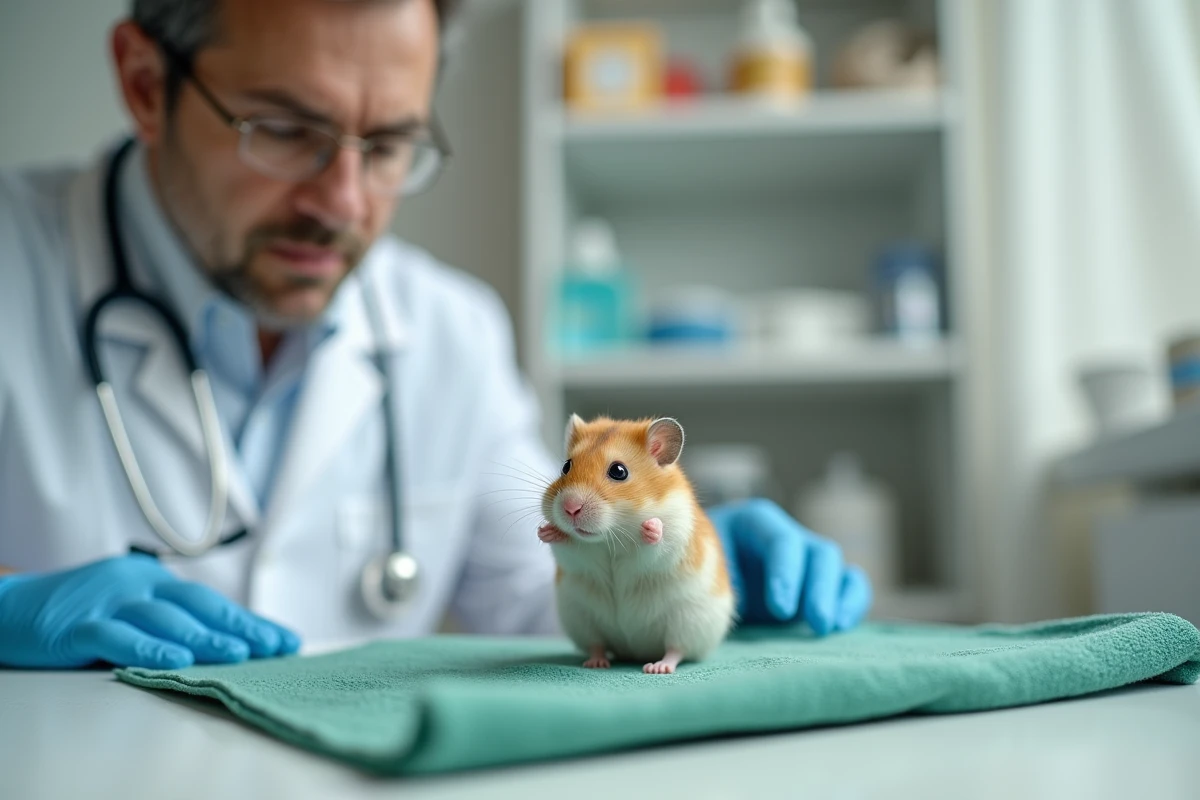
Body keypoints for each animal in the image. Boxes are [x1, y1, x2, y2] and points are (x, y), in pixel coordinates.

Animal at [537, 414, 736, 674]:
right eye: (566, 466)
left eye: (618, 471)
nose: (570, 508)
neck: (609, 538)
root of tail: (636, 650)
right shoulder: (579, 556)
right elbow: (567, 548)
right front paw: (545, 531)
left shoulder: (677, 535)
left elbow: (659, 544)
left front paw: (652, 527)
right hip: (582, 620)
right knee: (597, 644)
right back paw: (596, 663)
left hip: (689, 622)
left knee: (676, 650)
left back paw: (657, 667)